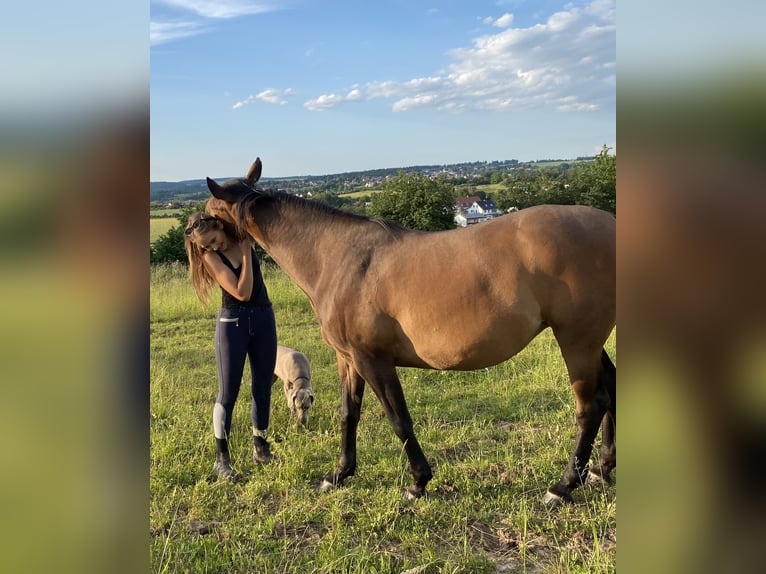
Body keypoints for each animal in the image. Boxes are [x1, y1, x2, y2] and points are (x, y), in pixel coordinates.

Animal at [206, 156, 616, 504]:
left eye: (210, 214)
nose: (195, 233)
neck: (338, 257)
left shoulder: (373, 360)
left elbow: (398, 419)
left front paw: (419, 482)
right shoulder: (348, 360)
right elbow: (348, 414)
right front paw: (339, 475)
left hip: (577, 339)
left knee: (590, 406)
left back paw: (563, 486)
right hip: (588, 341)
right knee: (609, 390)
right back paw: (601, 470)